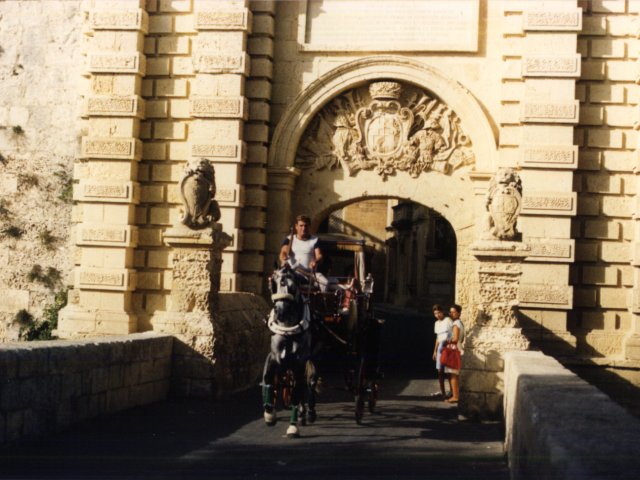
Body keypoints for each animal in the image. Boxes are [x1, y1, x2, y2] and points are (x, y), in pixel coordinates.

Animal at [262, 264, 318, 436]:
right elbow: (267, 379)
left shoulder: (300, 362)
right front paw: (269, 414)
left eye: (293, 287)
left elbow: (296, 393)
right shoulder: (274, 357)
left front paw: (293, 426)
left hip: (313, 358)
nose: (280, 312)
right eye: (273, 284)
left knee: (310, 381)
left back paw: (309, 412)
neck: (288, 331)